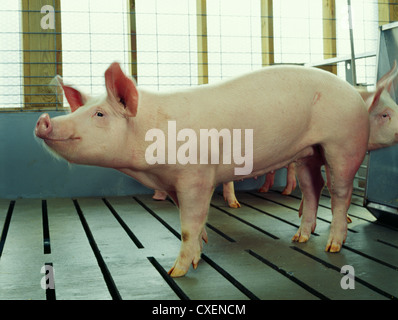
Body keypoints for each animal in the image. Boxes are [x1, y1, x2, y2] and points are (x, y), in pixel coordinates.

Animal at [35, 62, 398, 278]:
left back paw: (332, 247)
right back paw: (300, 237)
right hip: (307, 153)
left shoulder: (196, 175)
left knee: (340, 193)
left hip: (344, 144)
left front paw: (176, 272)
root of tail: (356, 94)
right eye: (79, 110)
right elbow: (192, 222)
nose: (44, 120)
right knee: (313, 188)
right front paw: (200, 253)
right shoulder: (174, 182)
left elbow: (187, 225)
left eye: (99, 114)